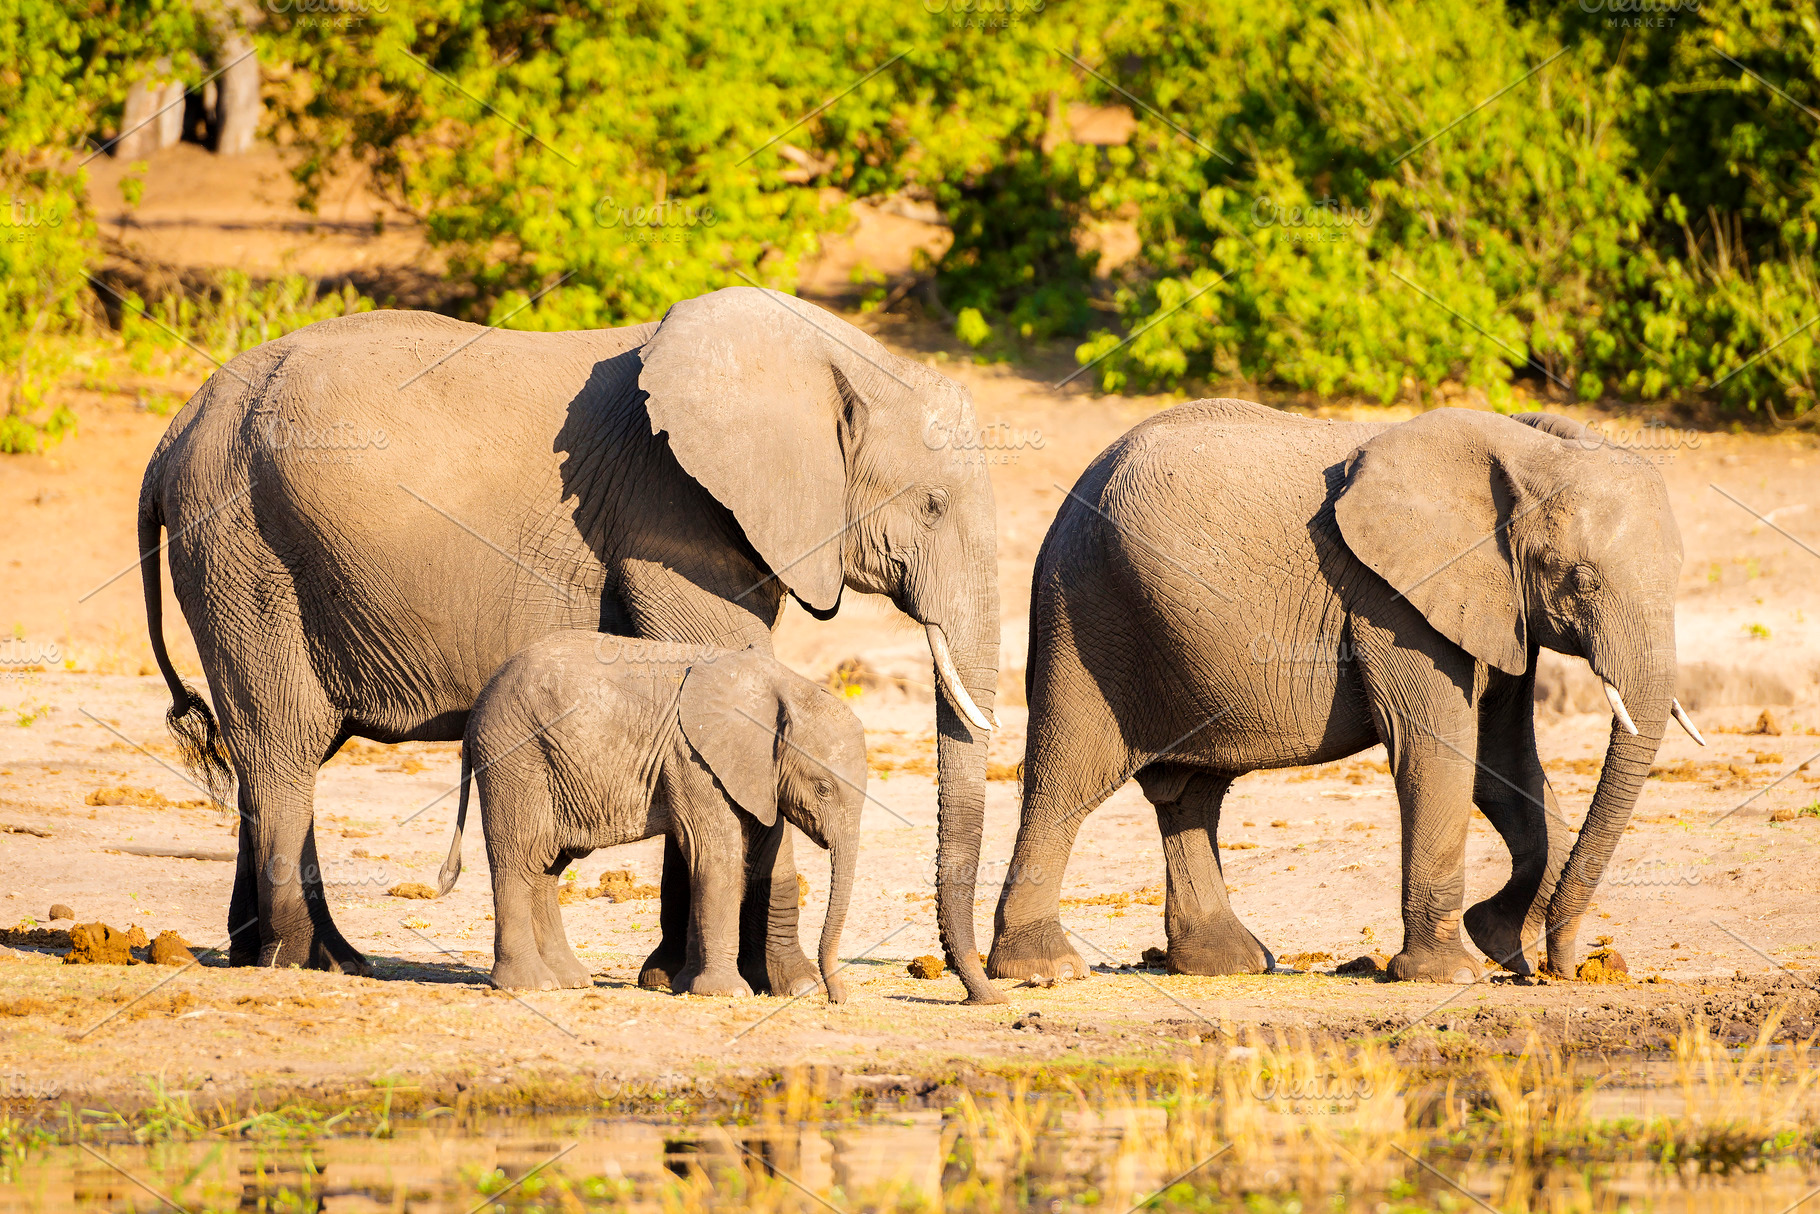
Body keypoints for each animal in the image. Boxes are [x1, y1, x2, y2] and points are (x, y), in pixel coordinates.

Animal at [435, 634, 863, 997]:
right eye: (823, 788)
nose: (835, 999)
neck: (782, 686)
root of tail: (476, 711)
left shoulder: (752, 769)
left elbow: (732, 854)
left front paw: (687, 985)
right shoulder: (691, 754)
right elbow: (715, 854)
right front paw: (725, 992)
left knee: (546, 865)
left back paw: (569, 979)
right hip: (515, 756)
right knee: (517, 856)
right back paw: (529, 984)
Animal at [989, 401, 1705, 984]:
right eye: (1580, 579)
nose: (1570, 966)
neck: (1524, 453)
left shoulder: (1497, 606)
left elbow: (1502, 763)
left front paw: (1502, 941)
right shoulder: (1393, 602)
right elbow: (1437, 751)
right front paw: (1452, 973)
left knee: (1189, 793)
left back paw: (1230, 964)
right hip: (1085, 614)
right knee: (1065, 783)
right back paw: (1044, 971)